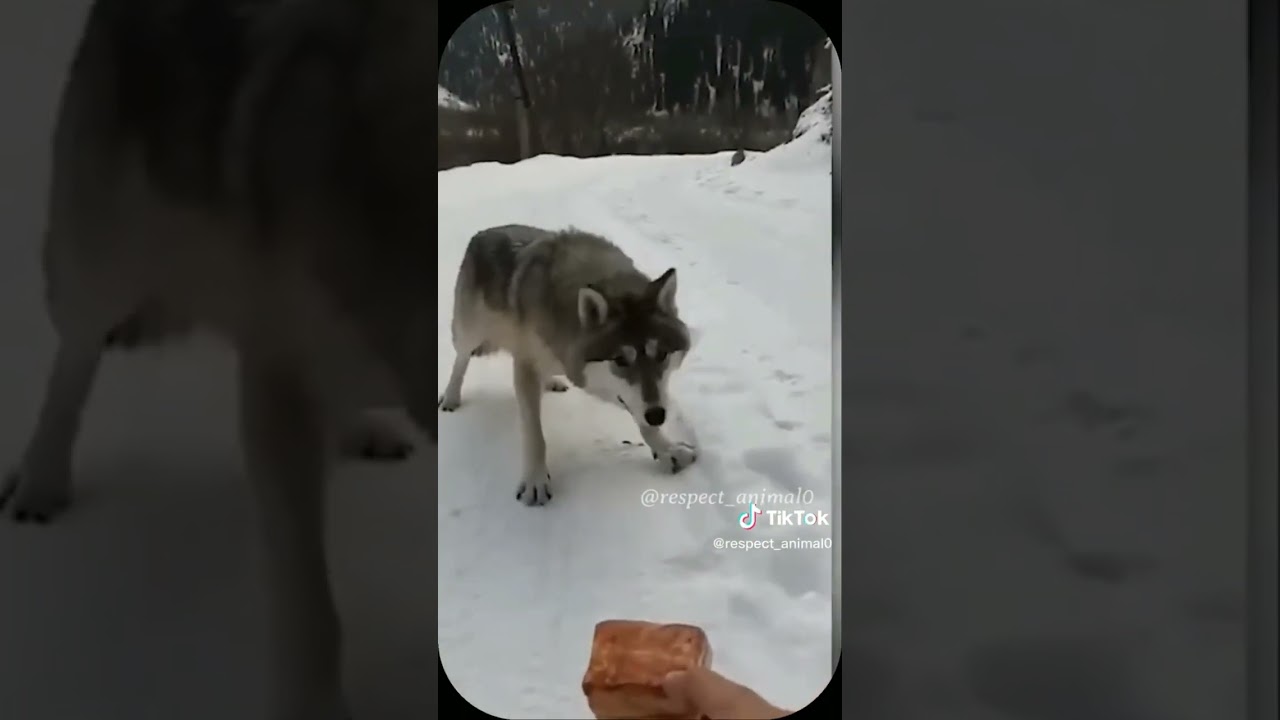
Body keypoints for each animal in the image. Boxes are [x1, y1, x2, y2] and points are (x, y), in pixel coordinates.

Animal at [0, 1, 437, 717]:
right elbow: (309, 610)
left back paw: (361, 429)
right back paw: (40, 480)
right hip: (101, 263)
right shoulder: (278, 378)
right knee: (74, 357)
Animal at [438, 225, 699, 506]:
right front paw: (535, 482)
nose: (658, 415)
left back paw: (552, 381)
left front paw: (668, 452)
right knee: (460, 361)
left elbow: (643, 421)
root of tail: (484, 232)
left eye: (661, 354)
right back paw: (451, 398)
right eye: (620, 359)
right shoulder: (526, 365)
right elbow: (535, 435)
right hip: (469, 334)